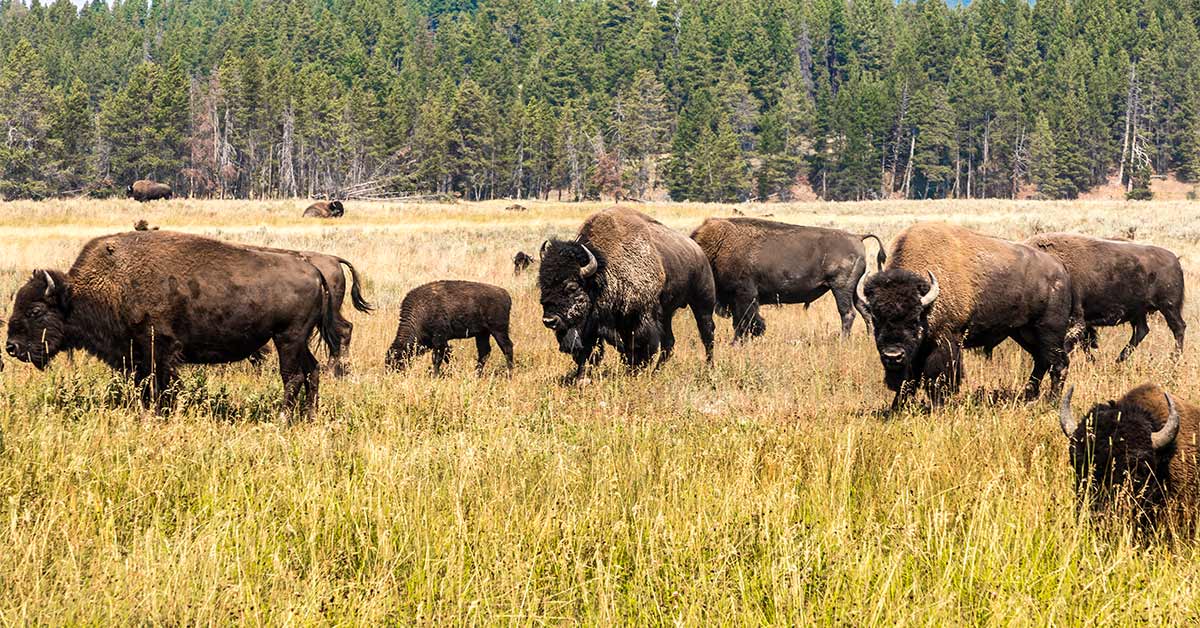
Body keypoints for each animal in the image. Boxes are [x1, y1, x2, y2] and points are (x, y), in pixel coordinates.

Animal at [8, 228, 338, 420]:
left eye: (35, 311)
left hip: (287, 337)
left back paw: (283, 418)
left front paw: (158, 415)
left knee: (293, 376)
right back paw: (309, 417)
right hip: (299, 340)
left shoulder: (159, 350)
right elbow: (146, 387)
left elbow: (160, 386)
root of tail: (314, 269)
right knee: (312, 371)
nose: (12, 347)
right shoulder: (139, 356)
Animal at [540, 208, 715, 381]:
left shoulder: (640, 319)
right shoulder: (593, 325)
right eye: (542, 285)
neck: (602, 275)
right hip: (667, 314)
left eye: (572, 287)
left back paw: (709, 370)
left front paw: (633, 373)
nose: (549, 321)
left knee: (707, 335)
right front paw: (581, 378)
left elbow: (638, 349)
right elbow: (589, 352)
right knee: (669, 343)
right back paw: (656, 373)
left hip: (703, 303)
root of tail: (698, 250)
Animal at [691, 217, 888, 343]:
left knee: (847, 313)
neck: (717, 249)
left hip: (840, 287)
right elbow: (740, 323)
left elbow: (746, 322)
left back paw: (843, 342)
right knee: (864, 310)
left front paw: (738, 343)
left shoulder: (744, 296)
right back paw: (869, 339)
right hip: (852, 289)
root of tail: (858, 237)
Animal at [859, 223, 1075, 410]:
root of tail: (1061, 270)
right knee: (1041, 360)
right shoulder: (917, 351)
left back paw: (1052, 401)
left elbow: (937, 377)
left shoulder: (945, 340)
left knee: (1059, 363)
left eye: (914, 318)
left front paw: (938, 407)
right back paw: (1030, 396)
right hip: (1023, 332)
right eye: (876, 318)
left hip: (1049, 331)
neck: (928, 302)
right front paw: (896, 407)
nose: (892, 355)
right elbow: (909, 379)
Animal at [1022, 231, 1180, 360]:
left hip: (1169, 307)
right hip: (1138, 312)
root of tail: (1175, 259)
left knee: (1178, 328)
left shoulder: (1075, 318)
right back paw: (1119, 359)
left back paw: (1174, 360)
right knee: (1142, 330)